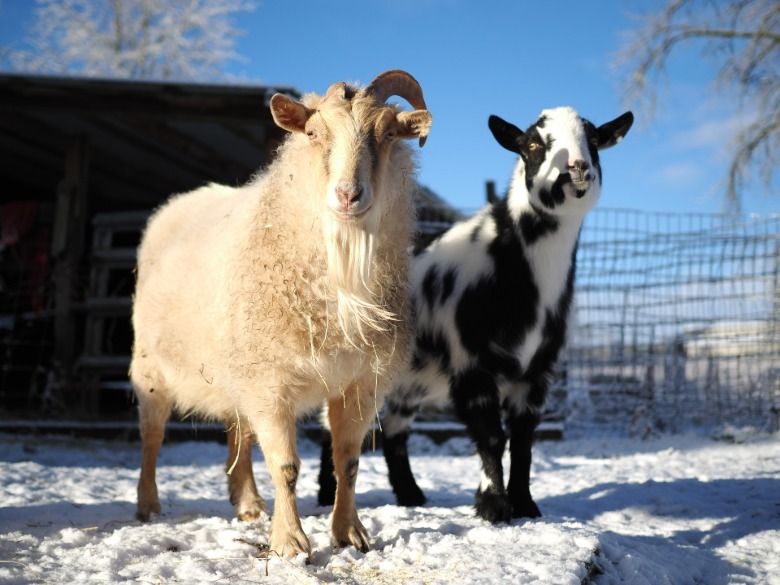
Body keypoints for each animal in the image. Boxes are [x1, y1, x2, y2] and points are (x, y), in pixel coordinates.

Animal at [129, 70, 432, 556]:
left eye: (387, 134)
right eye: (312, 134)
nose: (348, 195)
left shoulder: (361, 383)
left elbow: (347, 462)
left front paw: (349, 534)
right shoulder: (269, 380)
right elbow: (286, 466)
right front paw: (289, 542)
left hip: (235, 367)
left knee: (238, 431)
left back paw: (249, 504)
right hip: (153, 365)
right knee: (151, 437)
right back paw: (148, 505)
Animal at [320, 106, 632, 522]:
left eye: (594, 140)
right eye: (533, 145)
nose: (578, 167)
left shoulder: (537, 373)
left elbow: (523, 440)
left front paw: (525, 505)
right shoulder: (470, 363)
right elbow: (491, 436)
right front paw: (494, 506)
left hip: (411, 380)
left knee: (395, 429)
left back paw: (411, 495)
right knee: (334, 426)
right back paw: (328, 496)